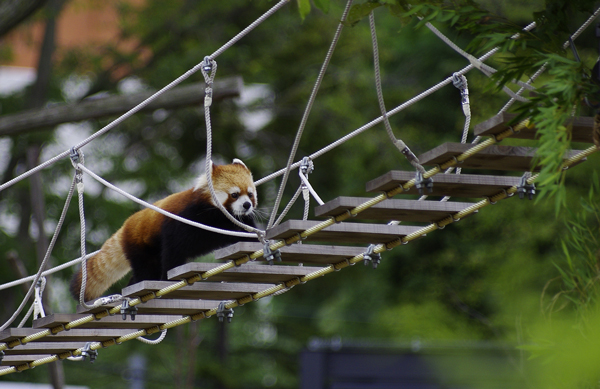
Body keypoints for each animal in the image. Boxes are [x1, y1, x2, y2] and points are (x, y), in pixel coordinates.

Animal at [70, 158, 258, 300]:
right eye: (234, 194)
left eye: (250, 194)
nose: (247, 205)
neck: (216, 215)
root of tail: (126, 225)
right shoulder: (183, 220)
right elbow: (173, 250)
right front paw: (166, 278)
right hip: (139, 245)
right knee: (146, 268)